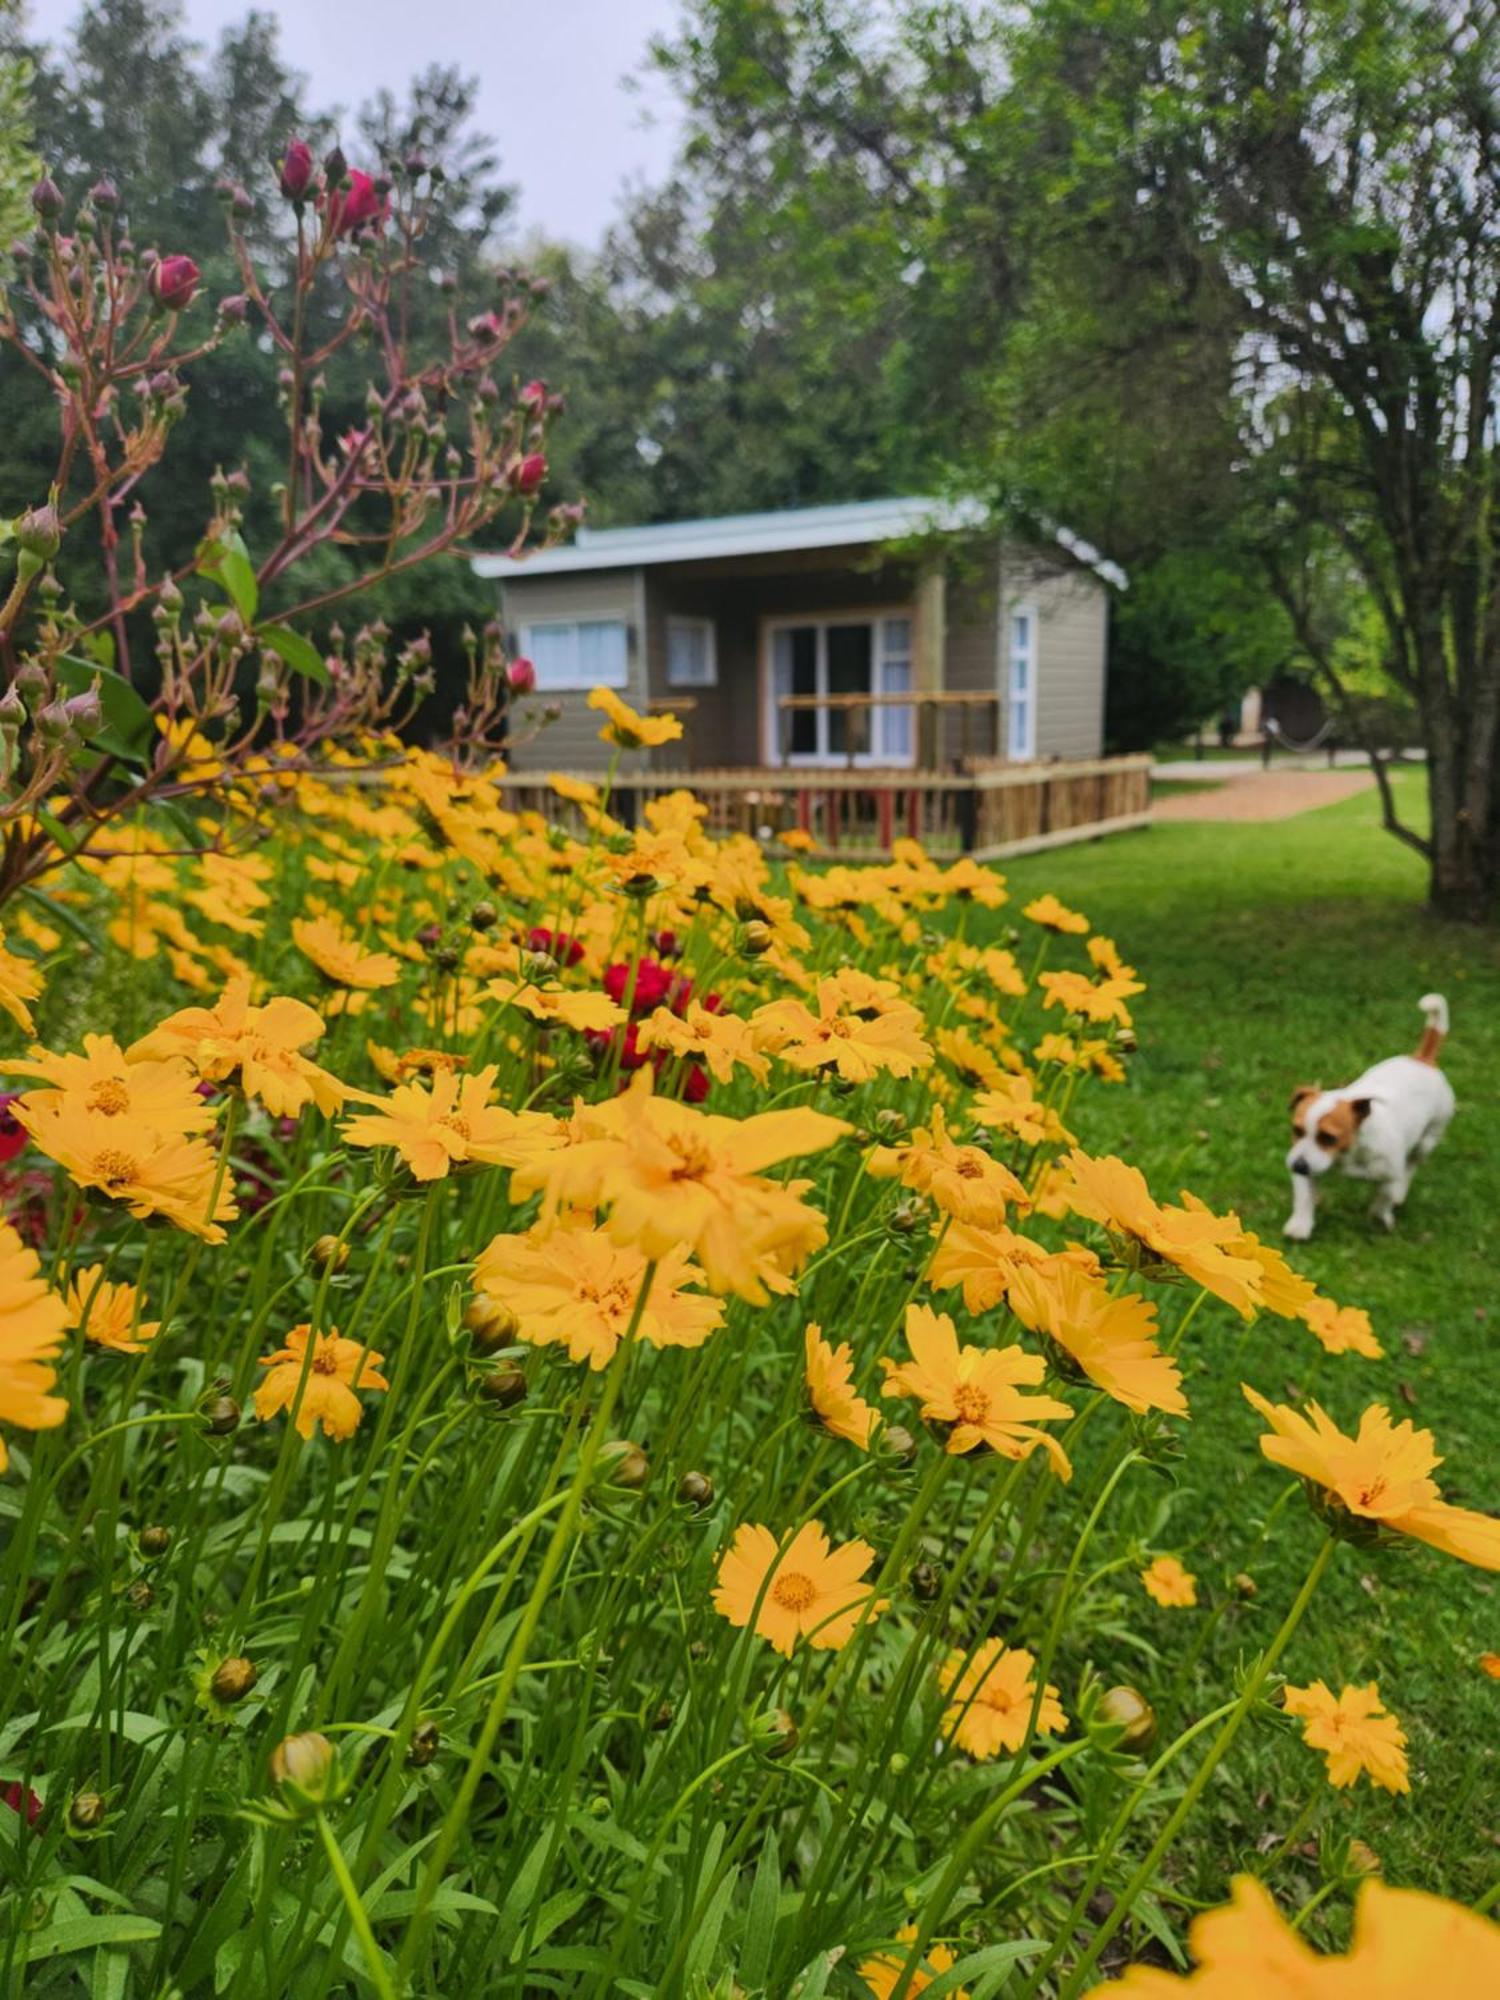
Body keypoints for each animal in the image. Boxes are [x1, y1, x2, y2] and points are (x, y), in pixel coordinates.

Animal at [1296, 996, 1456, 1240]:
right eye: (1296, 1130)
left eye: (1329, 1137)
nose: (1297, 1165)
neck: (1350, 1151)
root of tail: (1423, 1059)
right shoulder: (1308, 1166)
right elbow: (1304, 1196)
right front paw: (1299, 1226)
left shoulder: (1389, 1175)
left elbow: (1383, 1199)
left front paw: (1380, 1219)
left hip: (1429, 1139)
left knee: (1412, 1163)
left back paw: (1400, 1192)